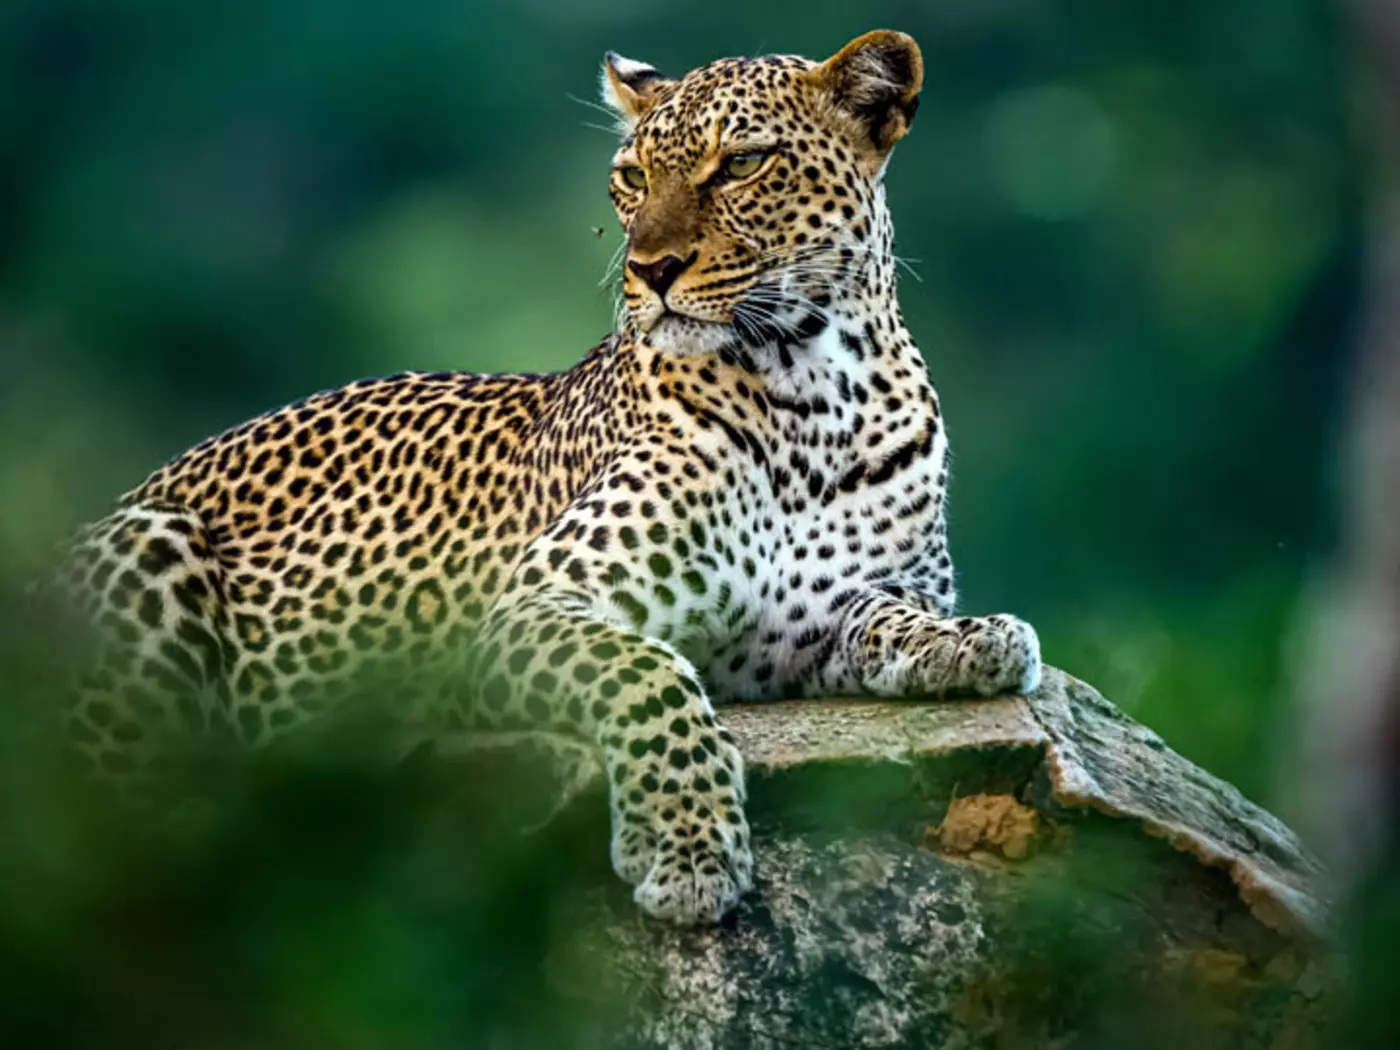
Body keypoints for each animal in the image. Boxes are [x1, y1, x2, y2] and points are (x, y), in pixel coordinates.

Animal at [47, 30, 1042, 926]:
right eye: (631, 177)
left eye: (742, 164)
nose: (651, 269)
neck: (813, 393)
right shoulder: (535, 607)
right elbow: (650, 675)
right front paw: (687, 847)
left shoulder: (826, 619)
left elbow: (892, 619)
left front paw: (975, 641)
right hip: (152, 543)